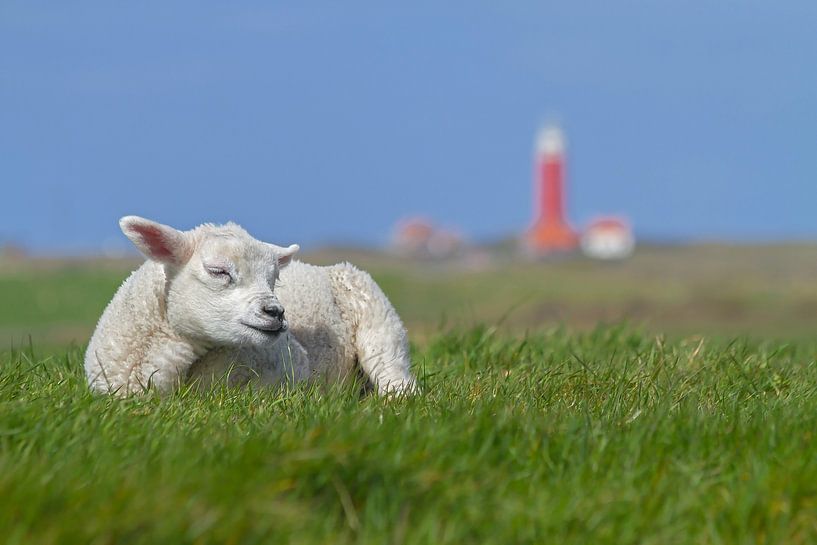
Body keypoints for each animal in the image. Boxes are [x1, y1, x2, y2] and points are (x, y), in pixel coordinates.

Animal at [84, 216, 414, 396]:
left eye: (273, 279)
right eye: (218, 271)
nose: (276, 313)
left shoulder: (294, 366)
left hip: (380, 323)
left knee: (395, 377)